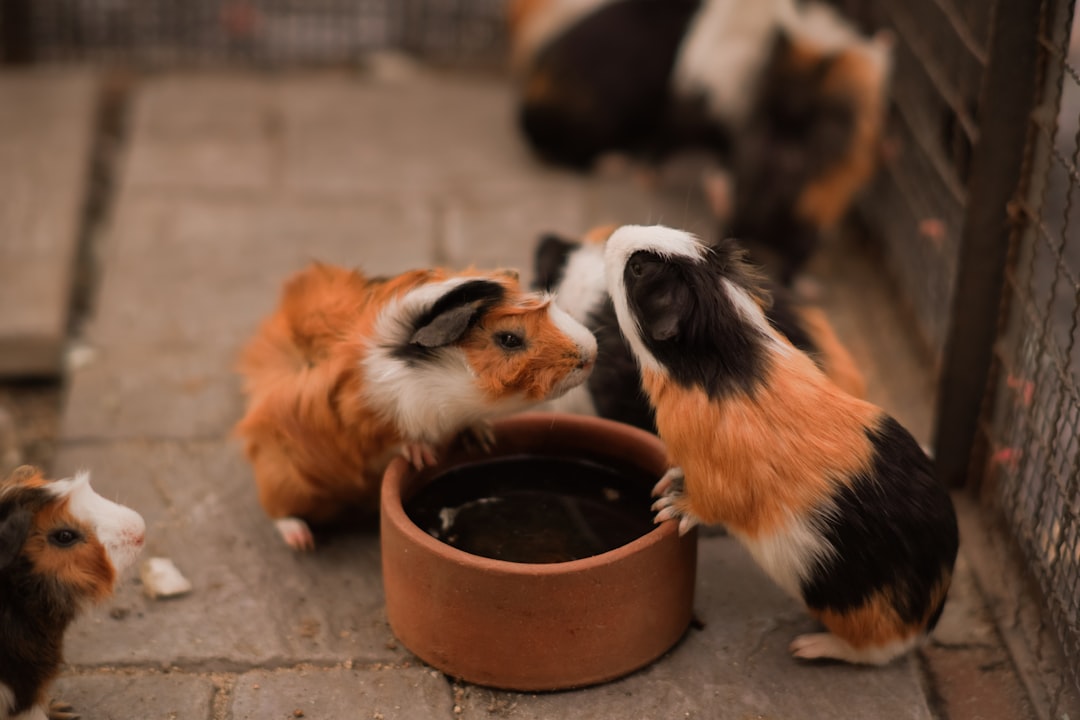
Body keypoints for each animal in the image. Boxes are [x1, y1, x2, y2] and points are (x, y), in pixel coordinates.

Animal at [235, 262, 598, 551]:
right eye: (509, 339)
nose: (591, 353)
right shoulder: (366, 420)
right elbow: (396, 438)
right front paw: (423, 456)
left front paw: (483, 438)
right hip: (283, 480)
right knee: (281, 515)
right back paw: (302, 542)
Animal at [602, 225, 957, 665]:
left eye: (637, 268)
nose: (615, 236)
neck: (726, 359)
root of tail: (928, 617)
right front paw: (665, 483)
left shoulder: (719, 484)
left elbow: (706, 504)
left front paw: (668, 507)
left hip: (855, 620)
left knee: (875, 652)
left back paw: (807, 647)